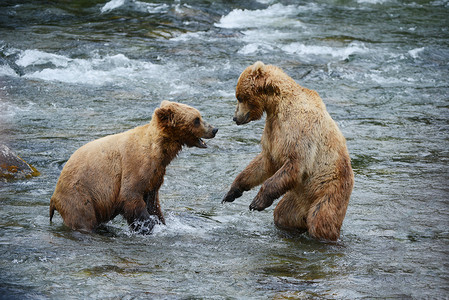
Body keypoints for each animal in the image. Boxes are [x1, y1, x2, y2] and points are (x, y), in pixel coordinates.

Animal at [50, 101, 218, 234]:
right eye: (196, 119)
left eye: (200, 116)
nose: (214, 129)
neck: (159, 150)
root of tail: (54, 196)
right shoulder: (135, 165)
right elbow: (130, 196)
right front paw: (148, 226)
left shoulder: (155, 175)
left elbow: (153, 203)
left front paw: (160, 222)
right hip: (80, 195)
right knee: (84, 219)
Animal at [222, 61, 352, 241]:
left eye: (239, 97)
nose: (235, 118)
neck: (277, 105)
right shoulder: (273, 131)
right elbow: (265, 162)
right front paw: (232, 191)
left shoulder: (299, 128)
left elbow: (295, 164)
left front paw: (256, 202)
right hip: (295, 200)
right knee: (283, 214)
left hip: (329, 190)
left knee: (321, 220)